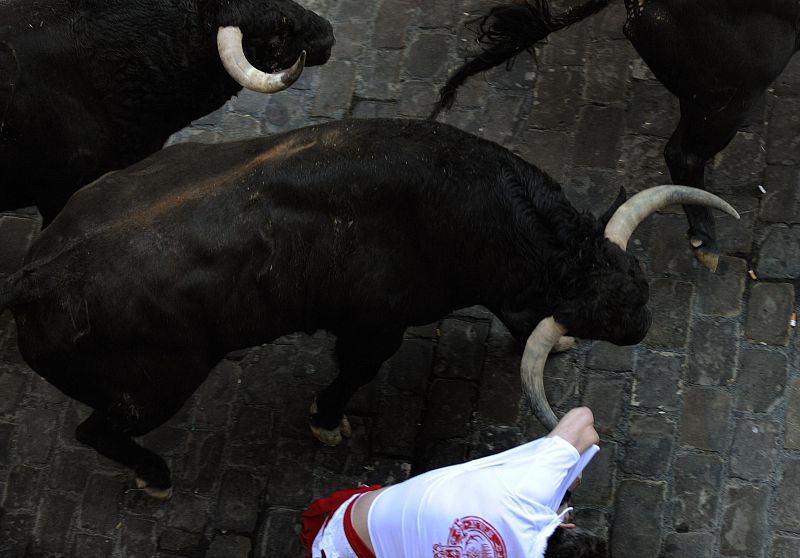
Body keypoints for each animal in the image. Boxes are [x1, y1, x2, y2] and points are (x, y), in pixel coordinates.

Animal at [0, 119, 736, 498]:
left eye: (635, 278)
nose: (639, 319)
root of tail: (33, 278)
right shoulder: (373, 326)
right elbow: (353, 374)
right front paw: (327, 422)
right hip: (153, 391)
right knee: (95, 432)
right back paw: (155, 477)